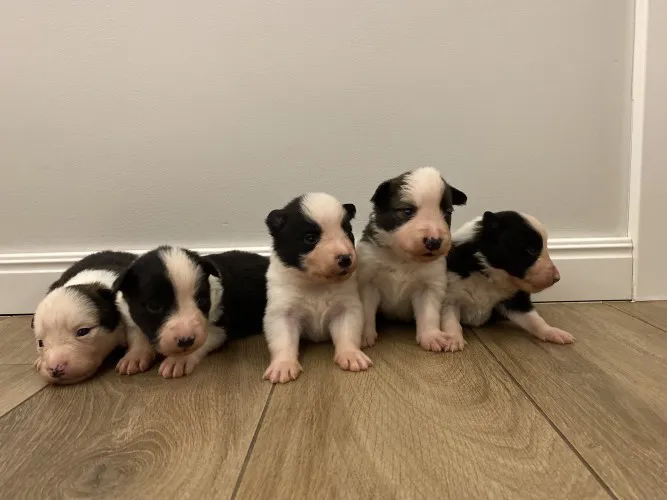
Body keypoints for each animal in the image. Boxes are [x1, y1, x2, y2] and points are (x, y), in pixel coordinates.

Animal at [115, 246, 268, 378]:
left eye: (202, 301)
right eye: (154, 306)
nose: (186, 341)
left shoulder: (220, 326)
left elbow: (205, 339)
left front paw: (178, 359)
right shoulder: (130, 316)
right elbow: (137, 333)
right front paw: (134, 356)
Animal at [264, 193, 374, 384]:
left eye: (348, 232)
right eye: (310, 238)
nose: (346, 258)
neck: (317, 284)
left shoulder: (347, 308)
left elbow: (348, 332)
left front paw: (351, 354)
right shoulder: (282, 312)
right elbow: (283, 338)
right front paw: (283, 364)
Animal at [358, 167, 468, 352]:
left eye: (447, 213)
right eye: (407, 211)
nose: (434, 241)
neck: (402, 259)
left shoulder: (429, 286)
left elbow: (429, 314)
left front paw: (432, 336)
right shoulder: (368, 281)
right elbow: (366, 311)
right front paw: (364, 336)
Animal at [440, 209, 576, 346]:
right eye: (531, 250)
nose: (557, 278)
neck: (488, 274)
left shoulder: (515, 299)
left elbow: (534, 319)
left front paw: (552, 332)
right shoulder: (451, 296)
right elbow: (450, 319)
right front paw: (453, 339)